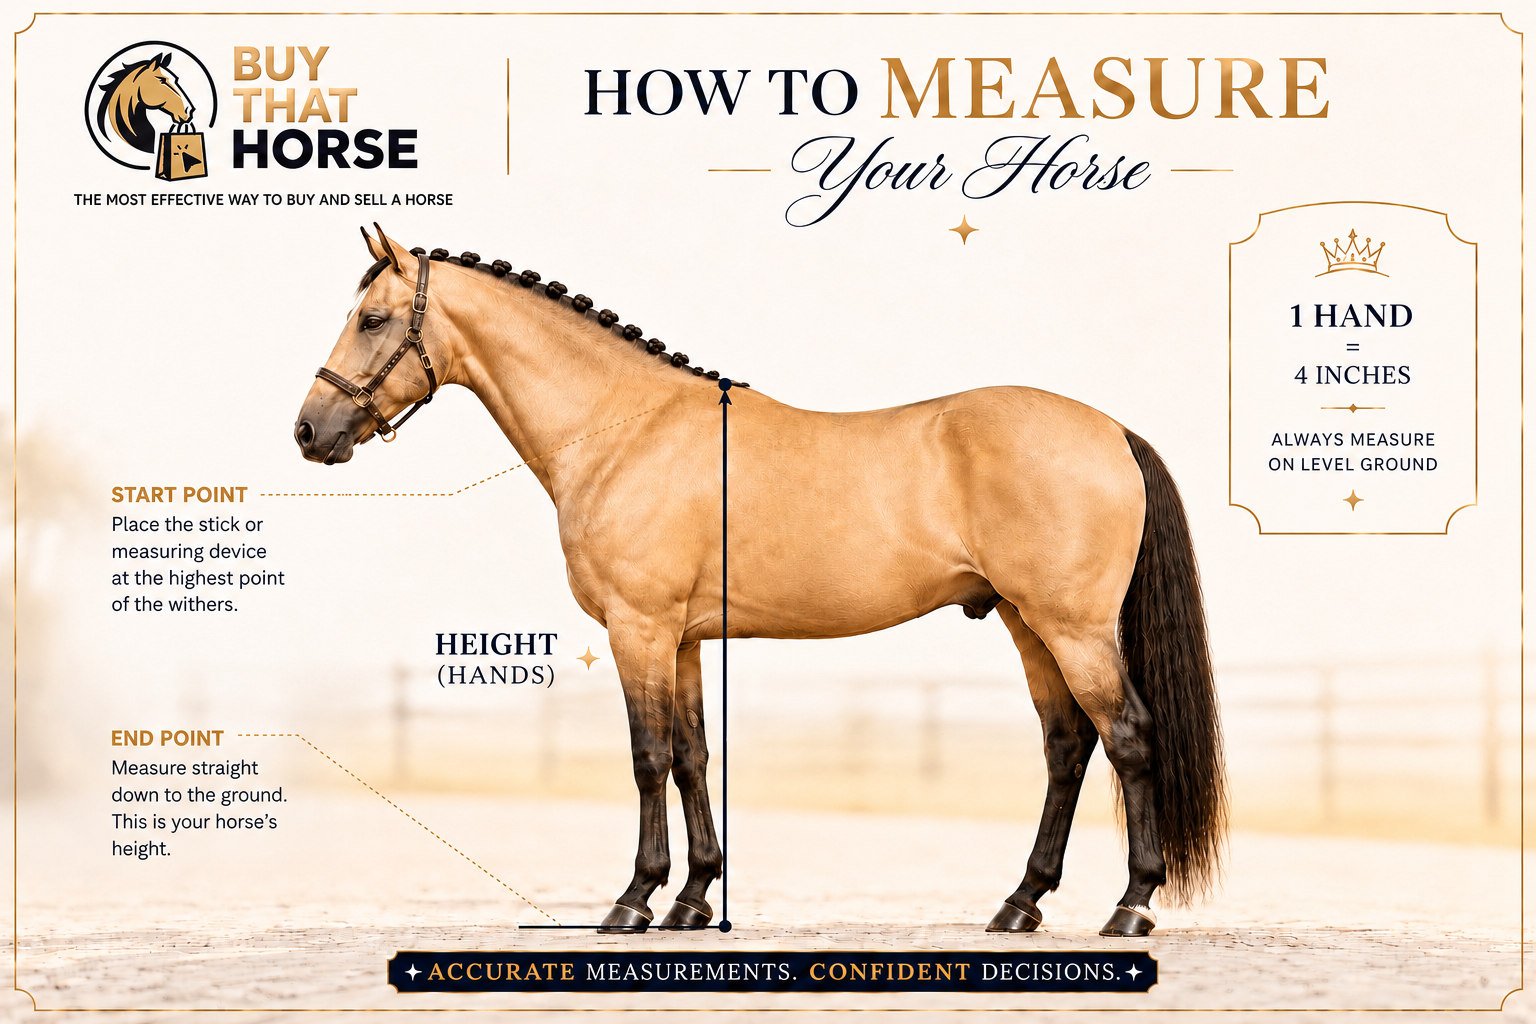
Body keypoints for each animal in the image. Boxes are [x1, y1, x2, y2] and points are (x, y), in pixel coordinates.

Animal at [293, 226, 1227, 936]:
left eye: (372, 320)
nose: (309, 431)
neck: (623, 429)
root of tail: (1110, 431)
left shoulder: (637, 628)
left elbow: (647, 758)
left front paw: (633, 902)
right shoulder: (682, 639)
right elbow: (692, 758)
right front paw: (693, 900)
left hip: (1071, 627)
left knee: (1128, 738)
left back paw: (1131, 908)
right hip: (1028, 624)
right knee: (1067, 746)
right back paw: (1019, 904)